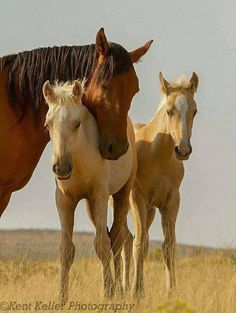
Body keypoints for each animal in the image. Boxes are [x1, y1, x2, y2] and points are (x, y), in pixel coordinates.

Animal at [131, 72, 199, 296]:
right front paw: (136, 292)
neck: (157, 156)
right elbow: (140, 244)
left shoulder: (171, 203)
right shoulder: (138, 200)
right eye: (169, 111)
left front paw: (171, 292)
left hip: (151, 210)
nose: (183, 150)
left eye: (194, 111)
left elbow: (168, 246)